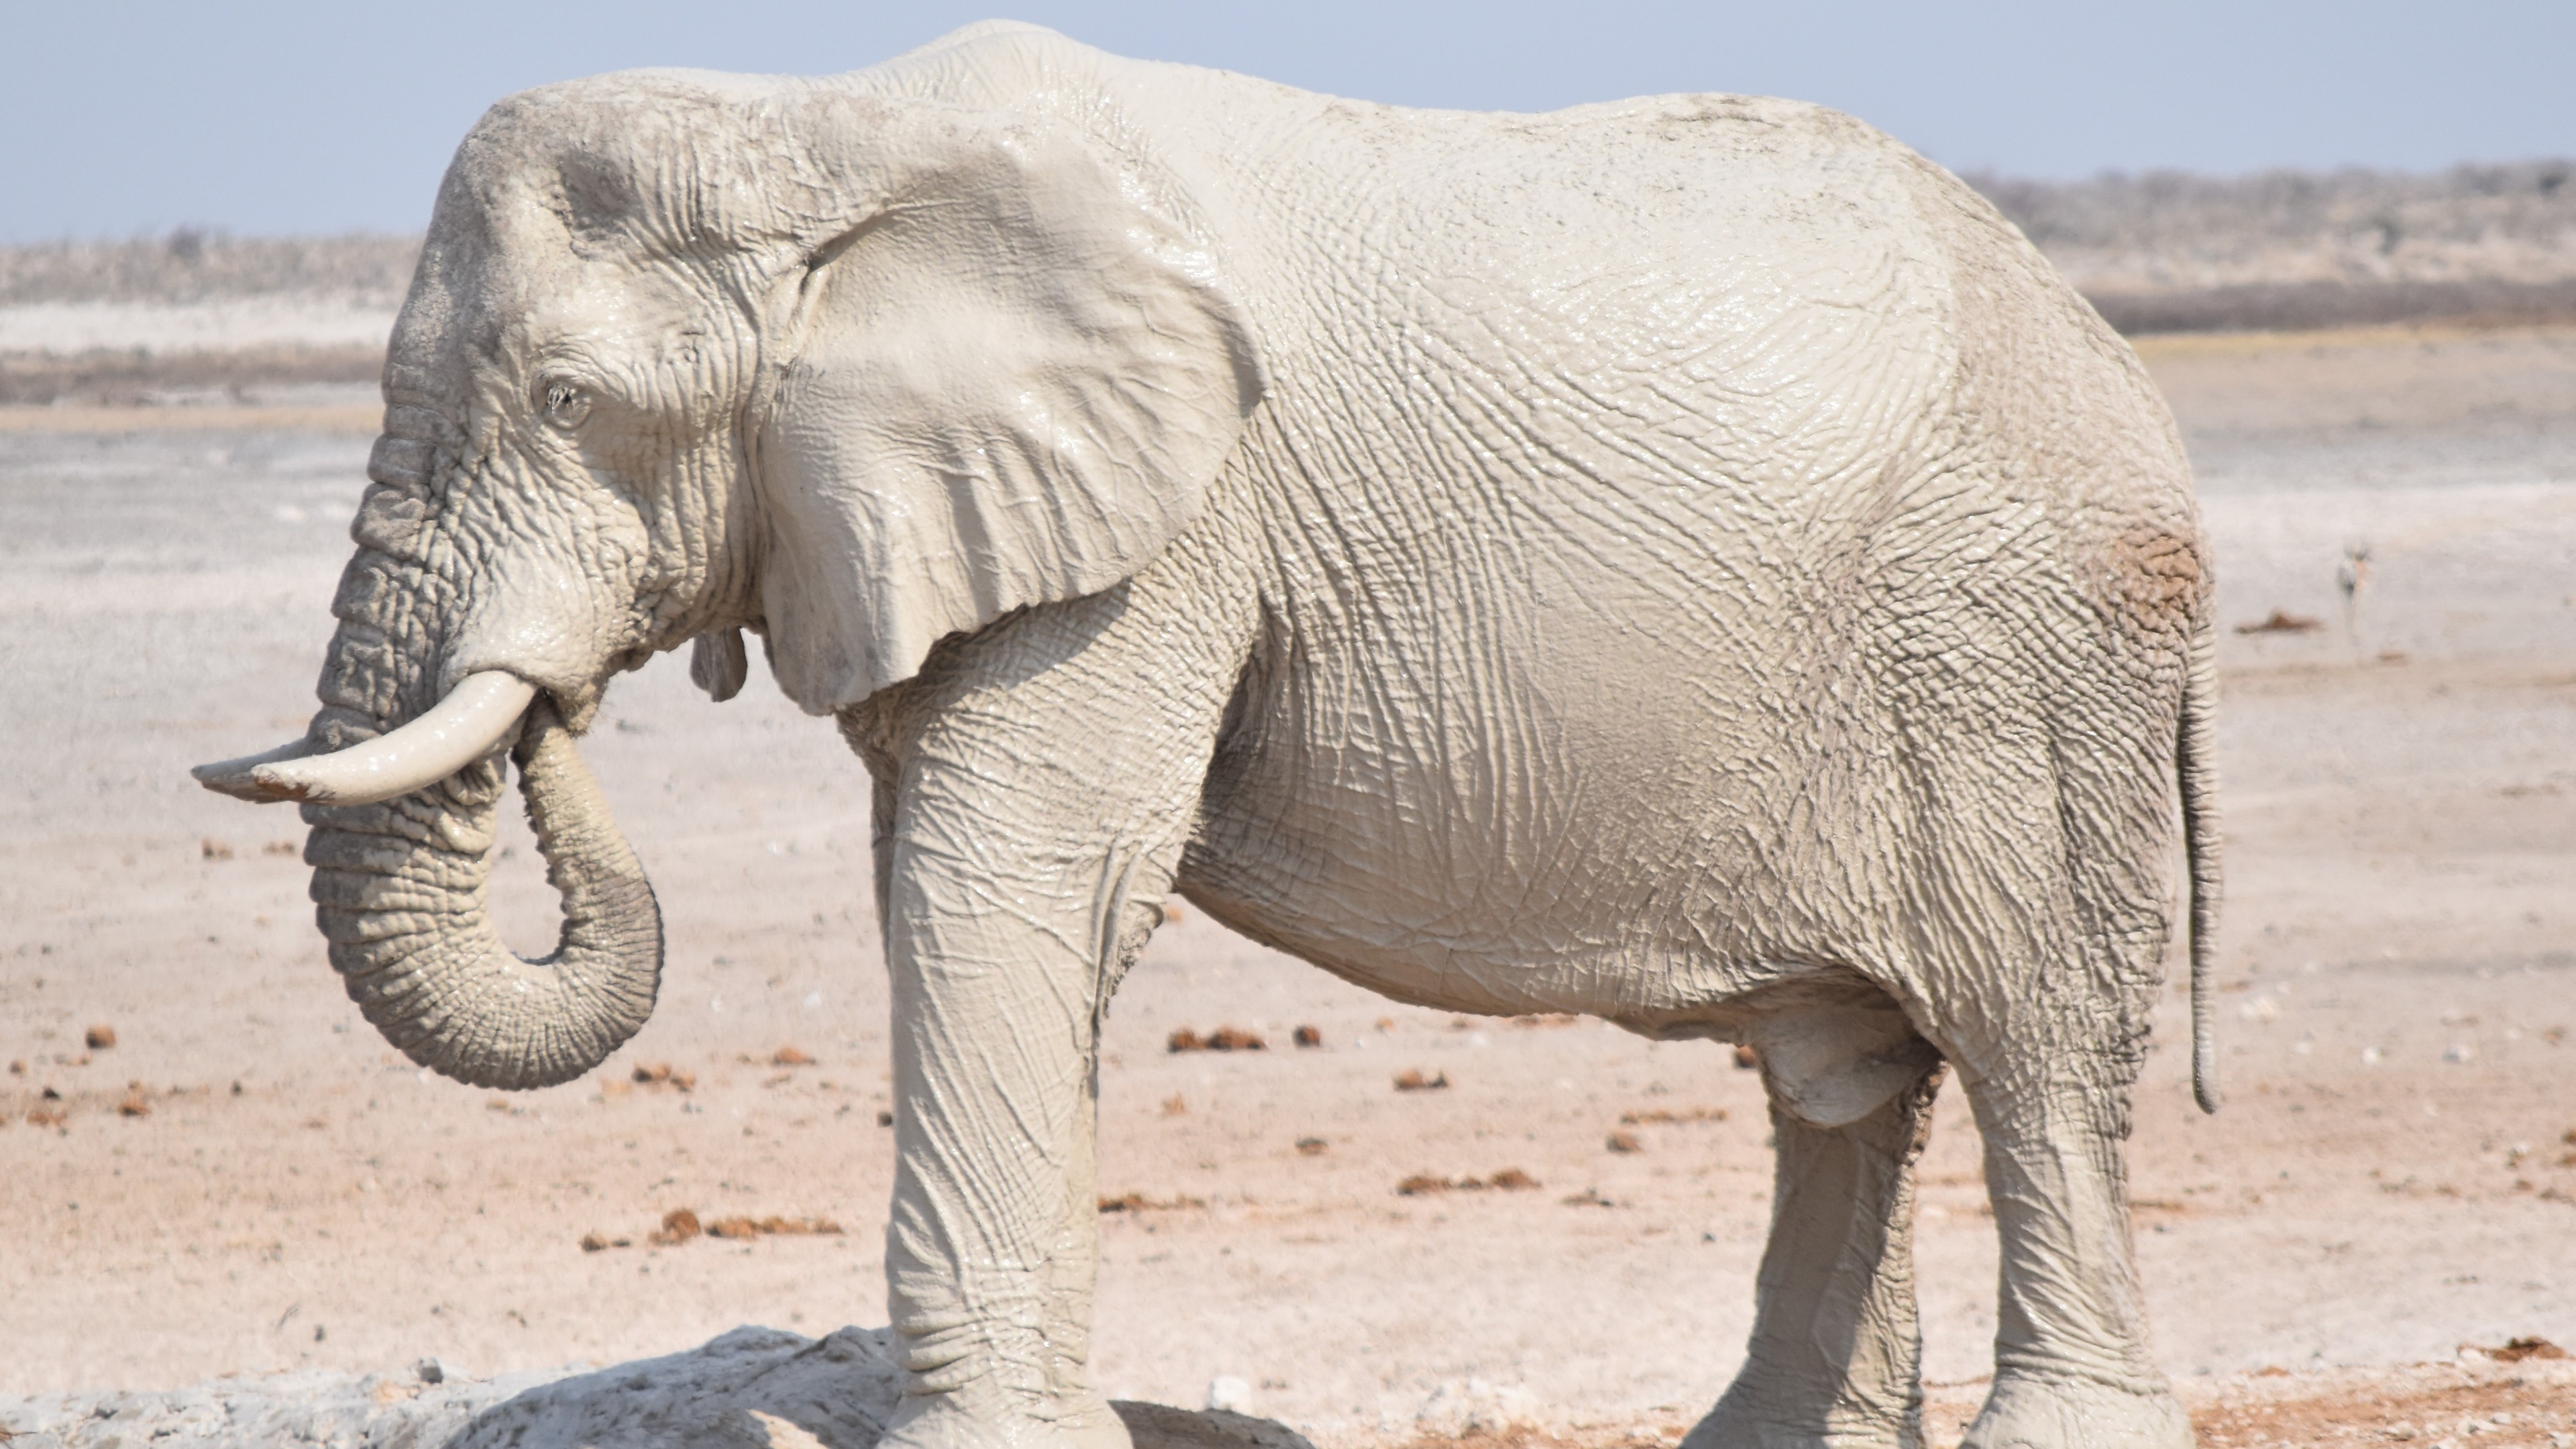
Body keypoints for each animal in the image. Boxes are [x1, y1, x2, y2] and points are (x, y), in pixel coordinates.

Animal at [195, 19, 2215, 1444]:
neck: (816, 120)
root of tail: (2116, 361)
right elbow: (957, 880)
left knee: (2031, 1038)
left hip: (2024, 653)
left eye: (570, 401)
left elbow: (1008, 875)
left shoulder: (1168, 529)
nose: (560, 702)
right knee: (1849, 1076)